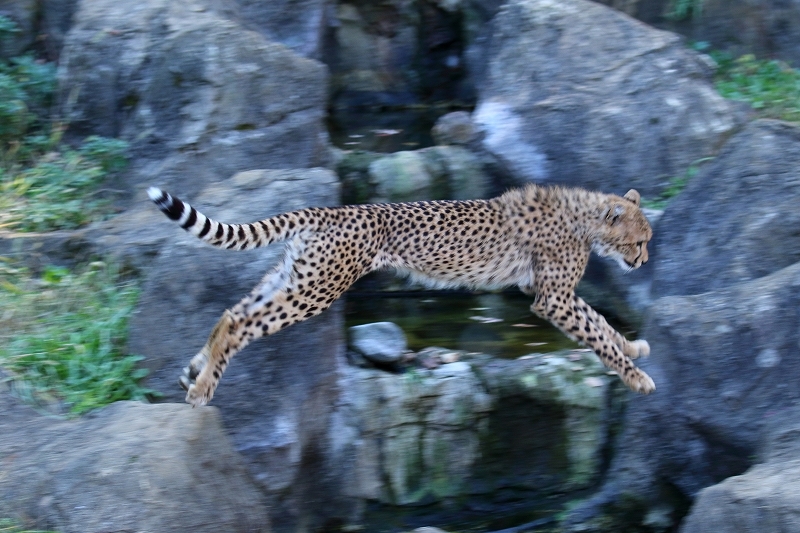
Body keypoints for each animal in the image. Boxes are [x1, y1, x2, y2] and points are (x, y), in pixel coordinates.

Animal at [147, 182, 652, 404]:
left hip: (296, 277)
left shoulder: (550, 292)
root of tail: (332, 210)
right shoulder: (553, 299)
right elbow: (597, 331)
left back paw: (193, 371)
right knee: (241, 321)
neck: (586, 219)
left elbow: (601, 323)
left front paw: (632, 348)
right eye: (641, 239)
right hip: (316, 288)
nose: (645, 261)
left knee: (232, 312)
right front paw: (635, 376)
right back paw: (203, 390)